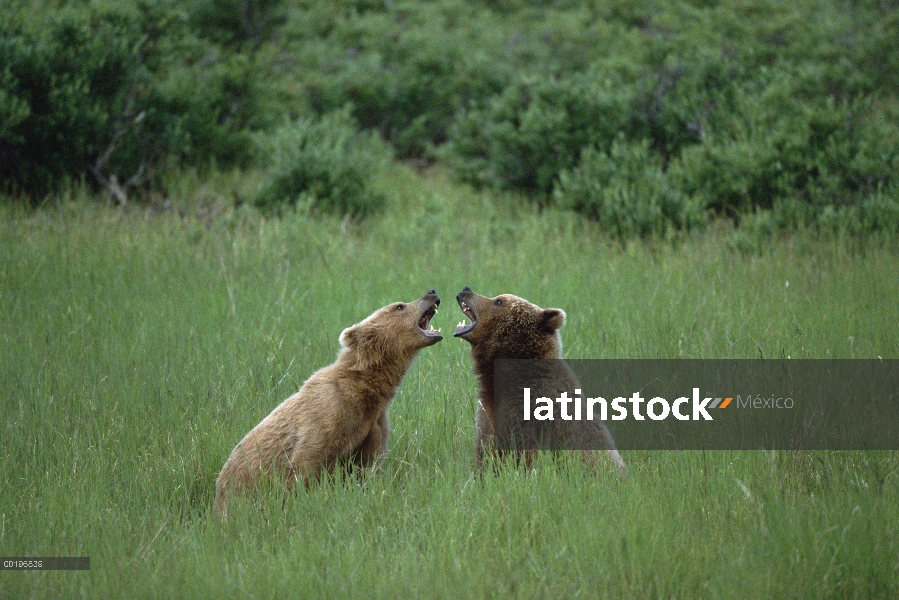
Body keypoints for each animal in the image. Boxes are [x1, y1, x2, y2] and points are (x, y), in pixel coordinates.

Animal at [218, 290, 442, 516]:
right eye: (399, 306)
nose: (431, 292)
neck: (365, 389)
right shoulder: (329, 412)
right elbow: (306, 463)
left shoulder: (374, 423)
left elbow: (367, 467)